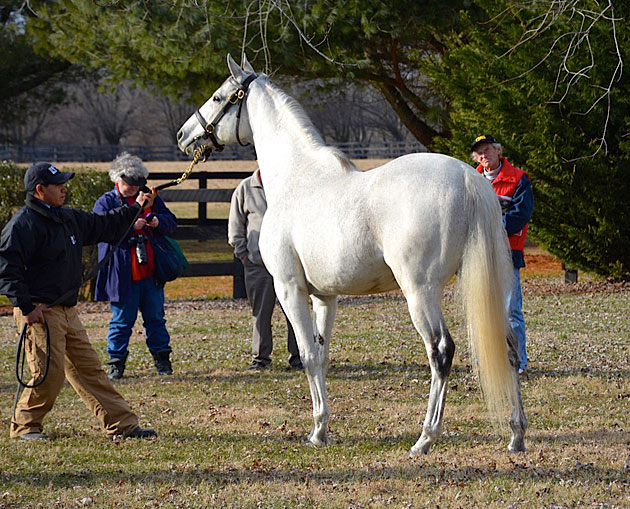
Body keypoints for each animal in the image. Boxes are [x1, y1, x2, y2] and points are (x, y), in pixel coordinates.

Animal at [177, 54, 528, 452]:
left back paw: (425, 437)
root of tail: (469, 178)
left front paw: (316, 430)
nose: (184, 136)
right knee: (509, 345)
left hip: (420, 291)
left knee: (441, 351)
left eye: (219, 97)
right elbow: (322, 355)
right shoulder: (325, 296)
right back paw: (516, 434)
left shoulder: (289, 288)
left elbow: (308, 355)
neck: (297, 177)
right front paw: (322, 429)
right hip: (490, 285)